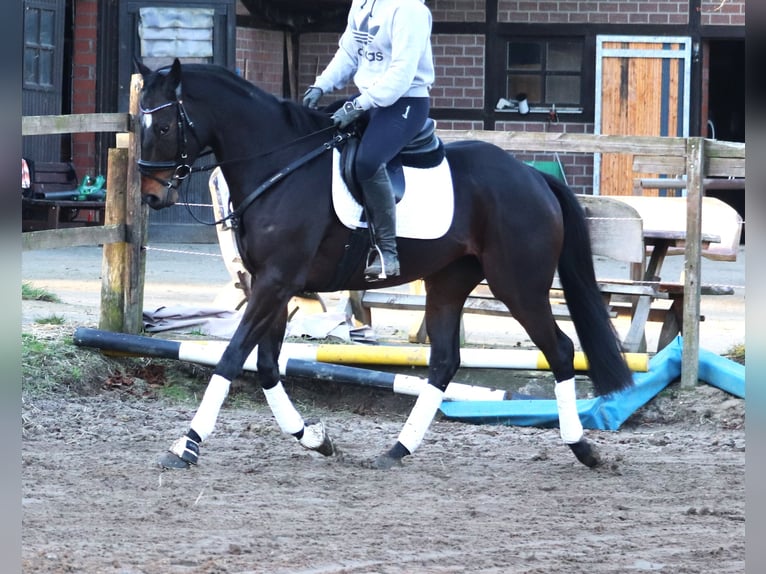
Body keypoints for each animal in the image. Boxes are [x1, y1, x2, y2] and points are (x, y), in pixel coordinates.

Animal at [135, 59, 632, 472]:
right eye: (141, 123)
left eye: (164, 125)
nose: (152, 197)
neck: (279, 164)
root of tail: (533, 177)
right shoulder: (270, 282)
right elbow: (268, 365)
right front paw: (314, 438)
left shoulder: (276, 281)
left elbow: (232, 357)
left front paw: (187, 445)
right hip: (449, 282)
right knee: (445, 362)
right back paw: (397, 449)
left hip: (518, 285)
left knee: (560, 351)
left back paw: (583, 448)